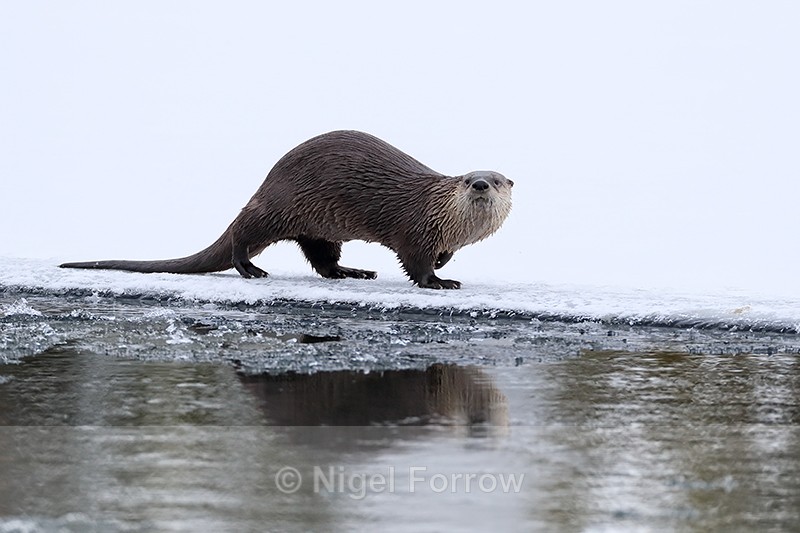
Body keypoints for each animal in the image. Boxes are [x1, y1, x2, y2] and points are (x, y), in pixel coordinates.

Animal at [60, 130, 513, 289]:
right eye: (467, 178)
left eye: (494, 179)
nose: (478, 184)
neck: (445, 220)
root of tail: (266, 181)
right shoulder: (415, 229)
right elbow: (416, 263)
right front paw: (439, 281)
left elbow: (441, 255)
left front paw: (444, 265)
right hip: (278, 207)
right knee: (241, 234)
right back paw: (251, 269)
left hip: (320, 225)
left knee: (322, 259)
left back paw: (352, 272)